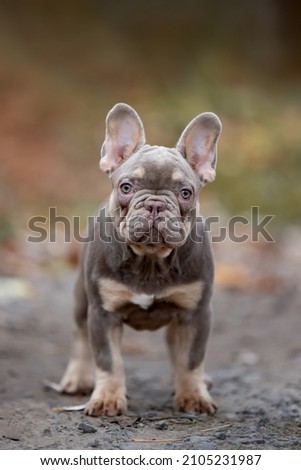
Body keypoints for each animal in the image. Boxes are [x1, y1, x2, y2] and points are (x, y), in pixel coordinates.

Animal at [57, 103, 220, 414]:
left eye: (186, 193)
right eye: (126, 187)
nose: (155, 205)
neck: (150, 260)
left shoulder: (196, 313)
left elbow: (191, 358)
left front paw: (193, 395)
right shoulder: (103, 314)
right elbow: (108, 361)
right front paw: (107, 398)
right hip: (82, 300)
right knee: (80, 336)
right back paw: (78, 378)